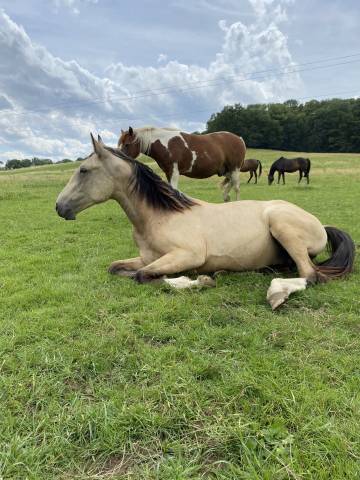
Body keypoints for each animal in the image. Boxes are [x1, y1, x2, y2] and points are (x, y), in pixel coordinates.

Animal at [56, 134, 354, 312]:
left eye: (83, 170)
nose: (59, 207)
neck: (161, 216)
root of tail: (320, 225)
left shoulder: (187, 254)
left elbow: (143, 276)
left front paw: (199, 280)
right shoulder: (148, 257)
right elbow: (117, 268)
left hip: (282, 225)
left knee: (310, 275)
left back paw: (276, 294)